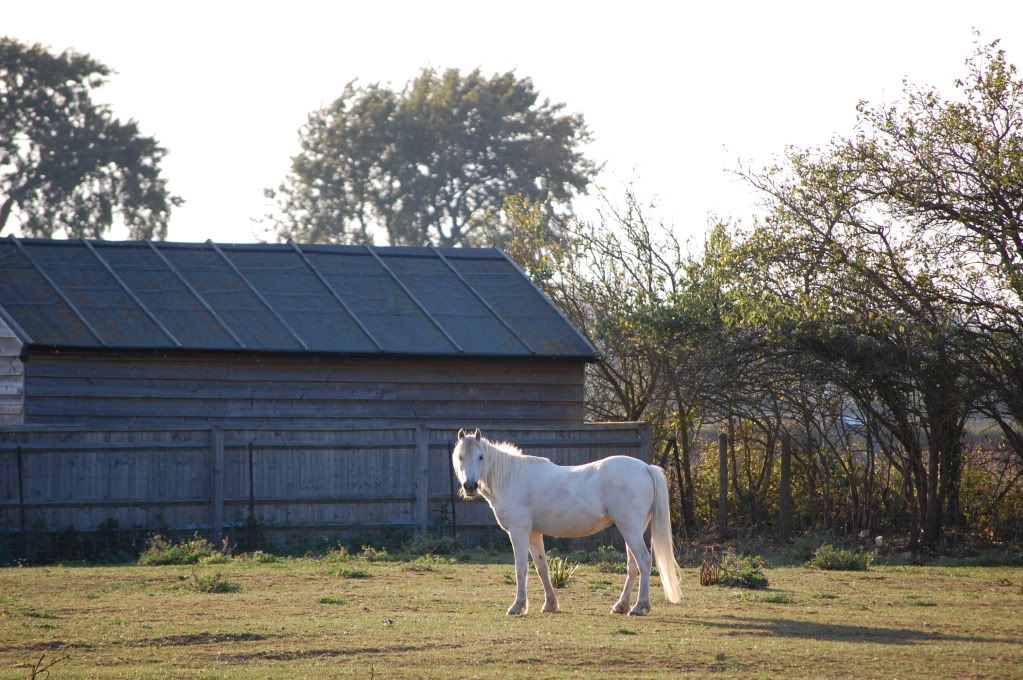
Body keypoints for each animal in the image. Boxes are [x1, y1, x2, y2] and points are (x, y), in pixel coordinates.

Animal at [454, 429, 679, 613]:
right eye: (460, 457)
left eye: (481, 456)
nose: (470, 486)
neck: (511, 478)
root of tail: (646, 468)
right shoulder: (534, 534)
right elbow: (542, 568)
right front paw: (550, 604)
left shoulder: (518, 532)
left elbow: (521, 569)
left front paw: (518, 606)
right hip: (631, 530)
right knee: (633, 566)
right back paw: (621, 606)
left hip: (630, 529)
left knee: (644, 561)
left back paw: (640, 607)